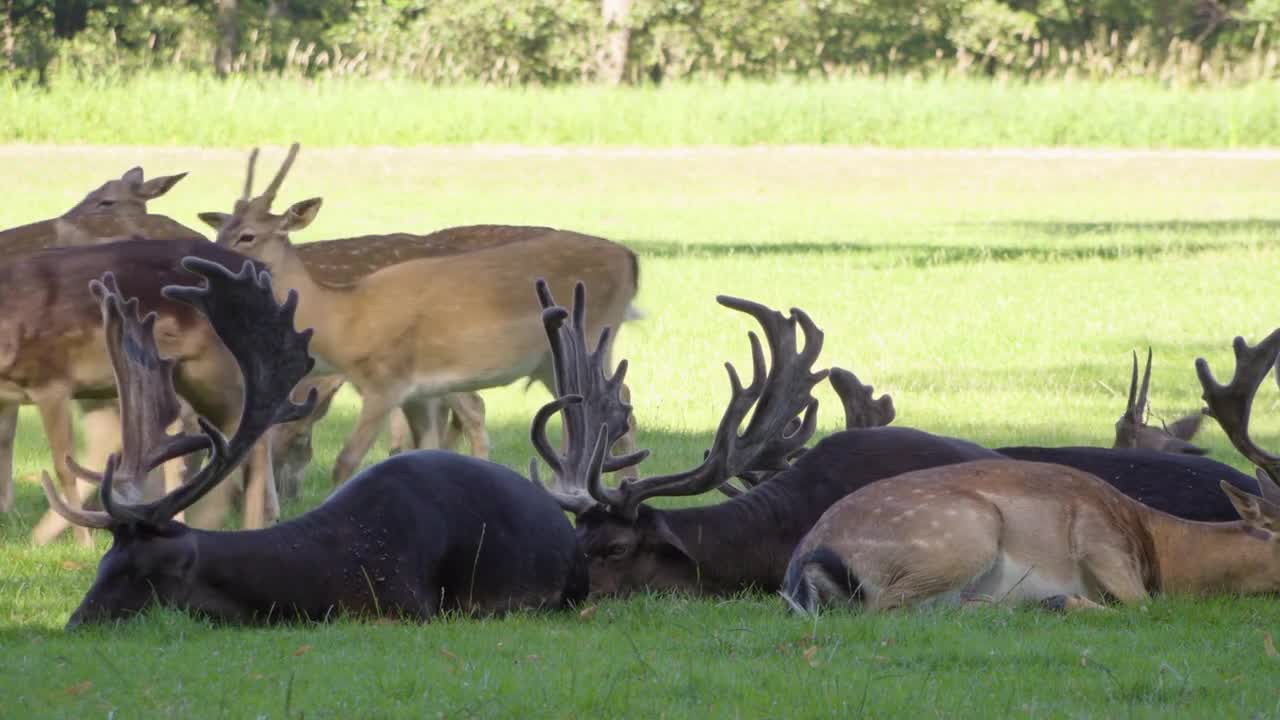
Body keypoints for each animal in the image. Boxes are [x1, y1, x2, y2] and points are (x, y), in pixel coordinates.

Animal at [198, 142, 640, 484]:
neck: (342, 317)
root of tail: (630, 259)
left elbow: (345, 463)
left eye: (248, 235)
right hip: (552, 360)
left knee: (614, 402)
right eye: (219, 230)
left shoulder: (385, 380)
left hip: (590, 334)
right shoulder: (418, 391)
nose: (204, 256)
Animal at [778, 325, 1280, 609]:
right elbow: (1145, 606)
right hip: (964, 531)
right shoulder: (1100, 539)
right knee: (888, 609)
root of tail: (805, 563)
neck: (1160, 546)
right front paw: (1063, 600)